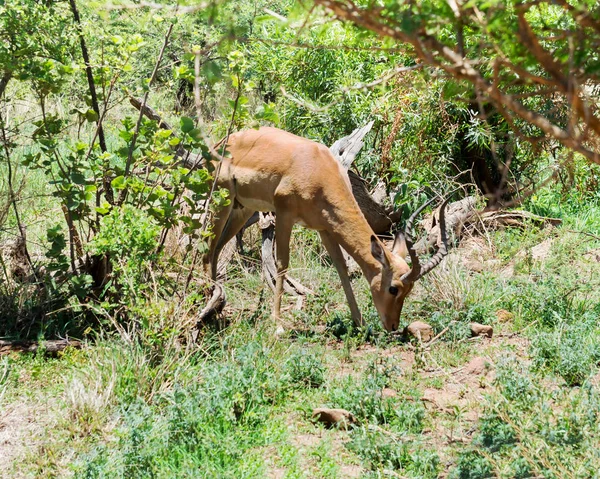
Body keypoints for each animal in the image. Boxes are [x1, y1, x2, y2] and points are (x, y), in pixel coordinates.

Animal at [203, 127, 450, 334]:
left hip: (242, 209)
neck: (318, 169)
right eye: (393, 288)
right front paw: (278, 323)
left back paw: (216, 304)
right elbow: (282, 264)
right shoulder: (284, 215)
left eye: (409, 290)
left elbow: (341, 267)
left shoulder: (325, 228)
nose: (392, 326)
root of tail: (224, 142)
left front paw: (359, 322)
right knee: (208, 248)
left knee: (217, 249)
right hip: (222, 202)